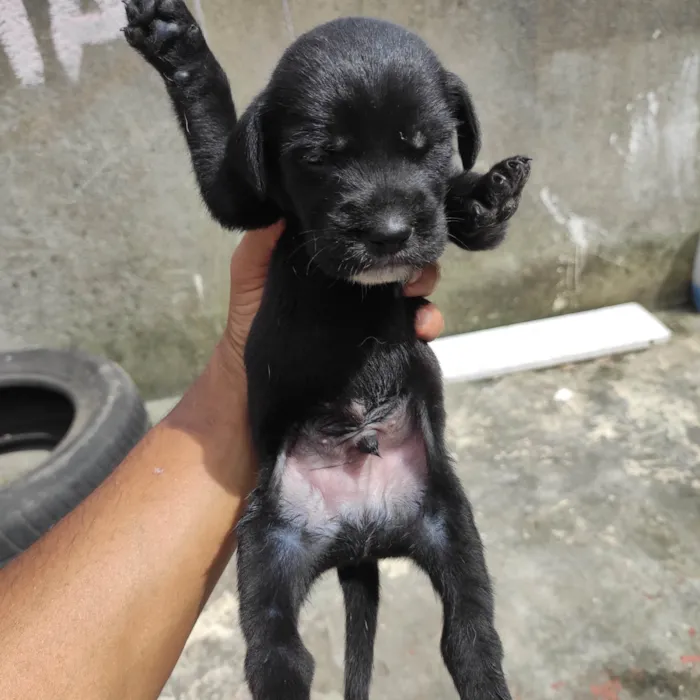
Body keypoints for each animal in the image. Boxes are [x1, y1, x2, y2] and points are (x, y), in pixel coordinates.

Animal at [124, 2, 532, 696]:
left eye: (426, 145)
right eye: (319, 157)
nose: (389, 232)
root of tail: (359, 537)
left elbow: (468, 223)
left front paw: (483, 192)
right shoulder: (243, 197)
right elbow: (216, 141)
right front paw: (177, 44)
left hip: (452, 525)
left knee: (470, 634)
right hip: (269, 546)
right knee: (280, 655)